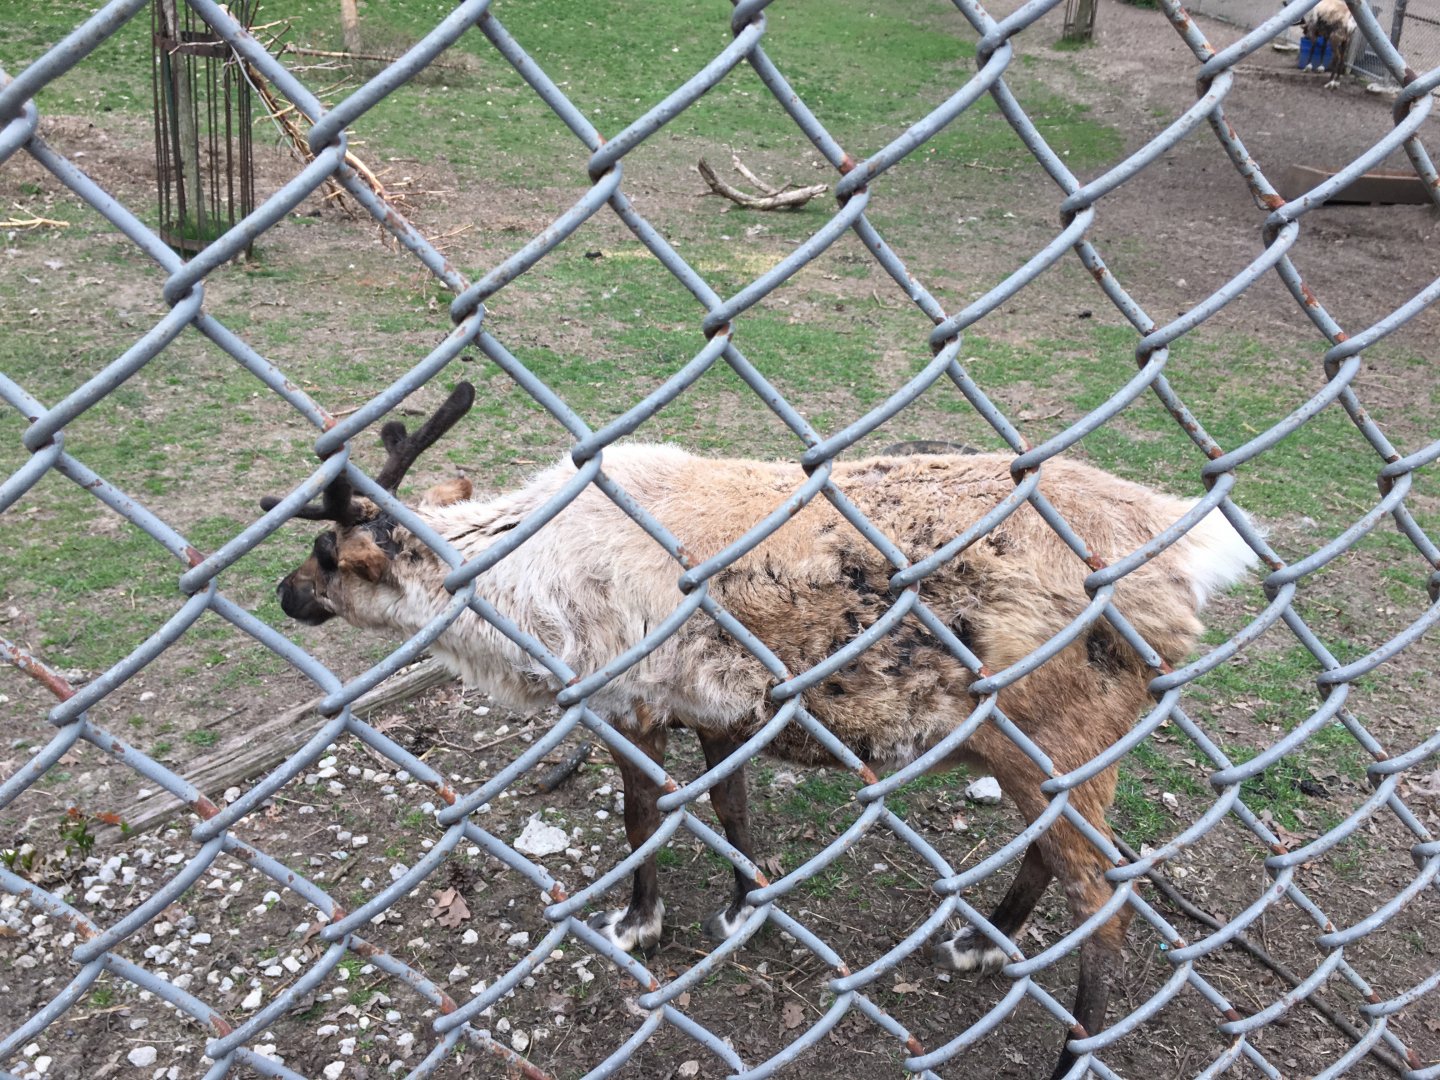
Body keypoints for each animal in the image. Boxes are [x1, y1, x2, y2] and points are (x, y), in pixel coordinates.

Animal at [263, 382, 1257, 1078]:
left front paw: (641, 922)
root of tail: (1188, 556)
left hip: (1054, 735)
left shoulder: (631, 702)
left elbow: (643, 819)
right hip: (1037, 753)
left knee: (1108, 904)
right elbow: (735, 811)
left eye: (325, 553)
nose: (284, 594)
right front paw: (745, 906)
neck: (523, 597)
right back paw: (980, 940)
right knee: (1057, 858)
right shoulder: (718, 710)